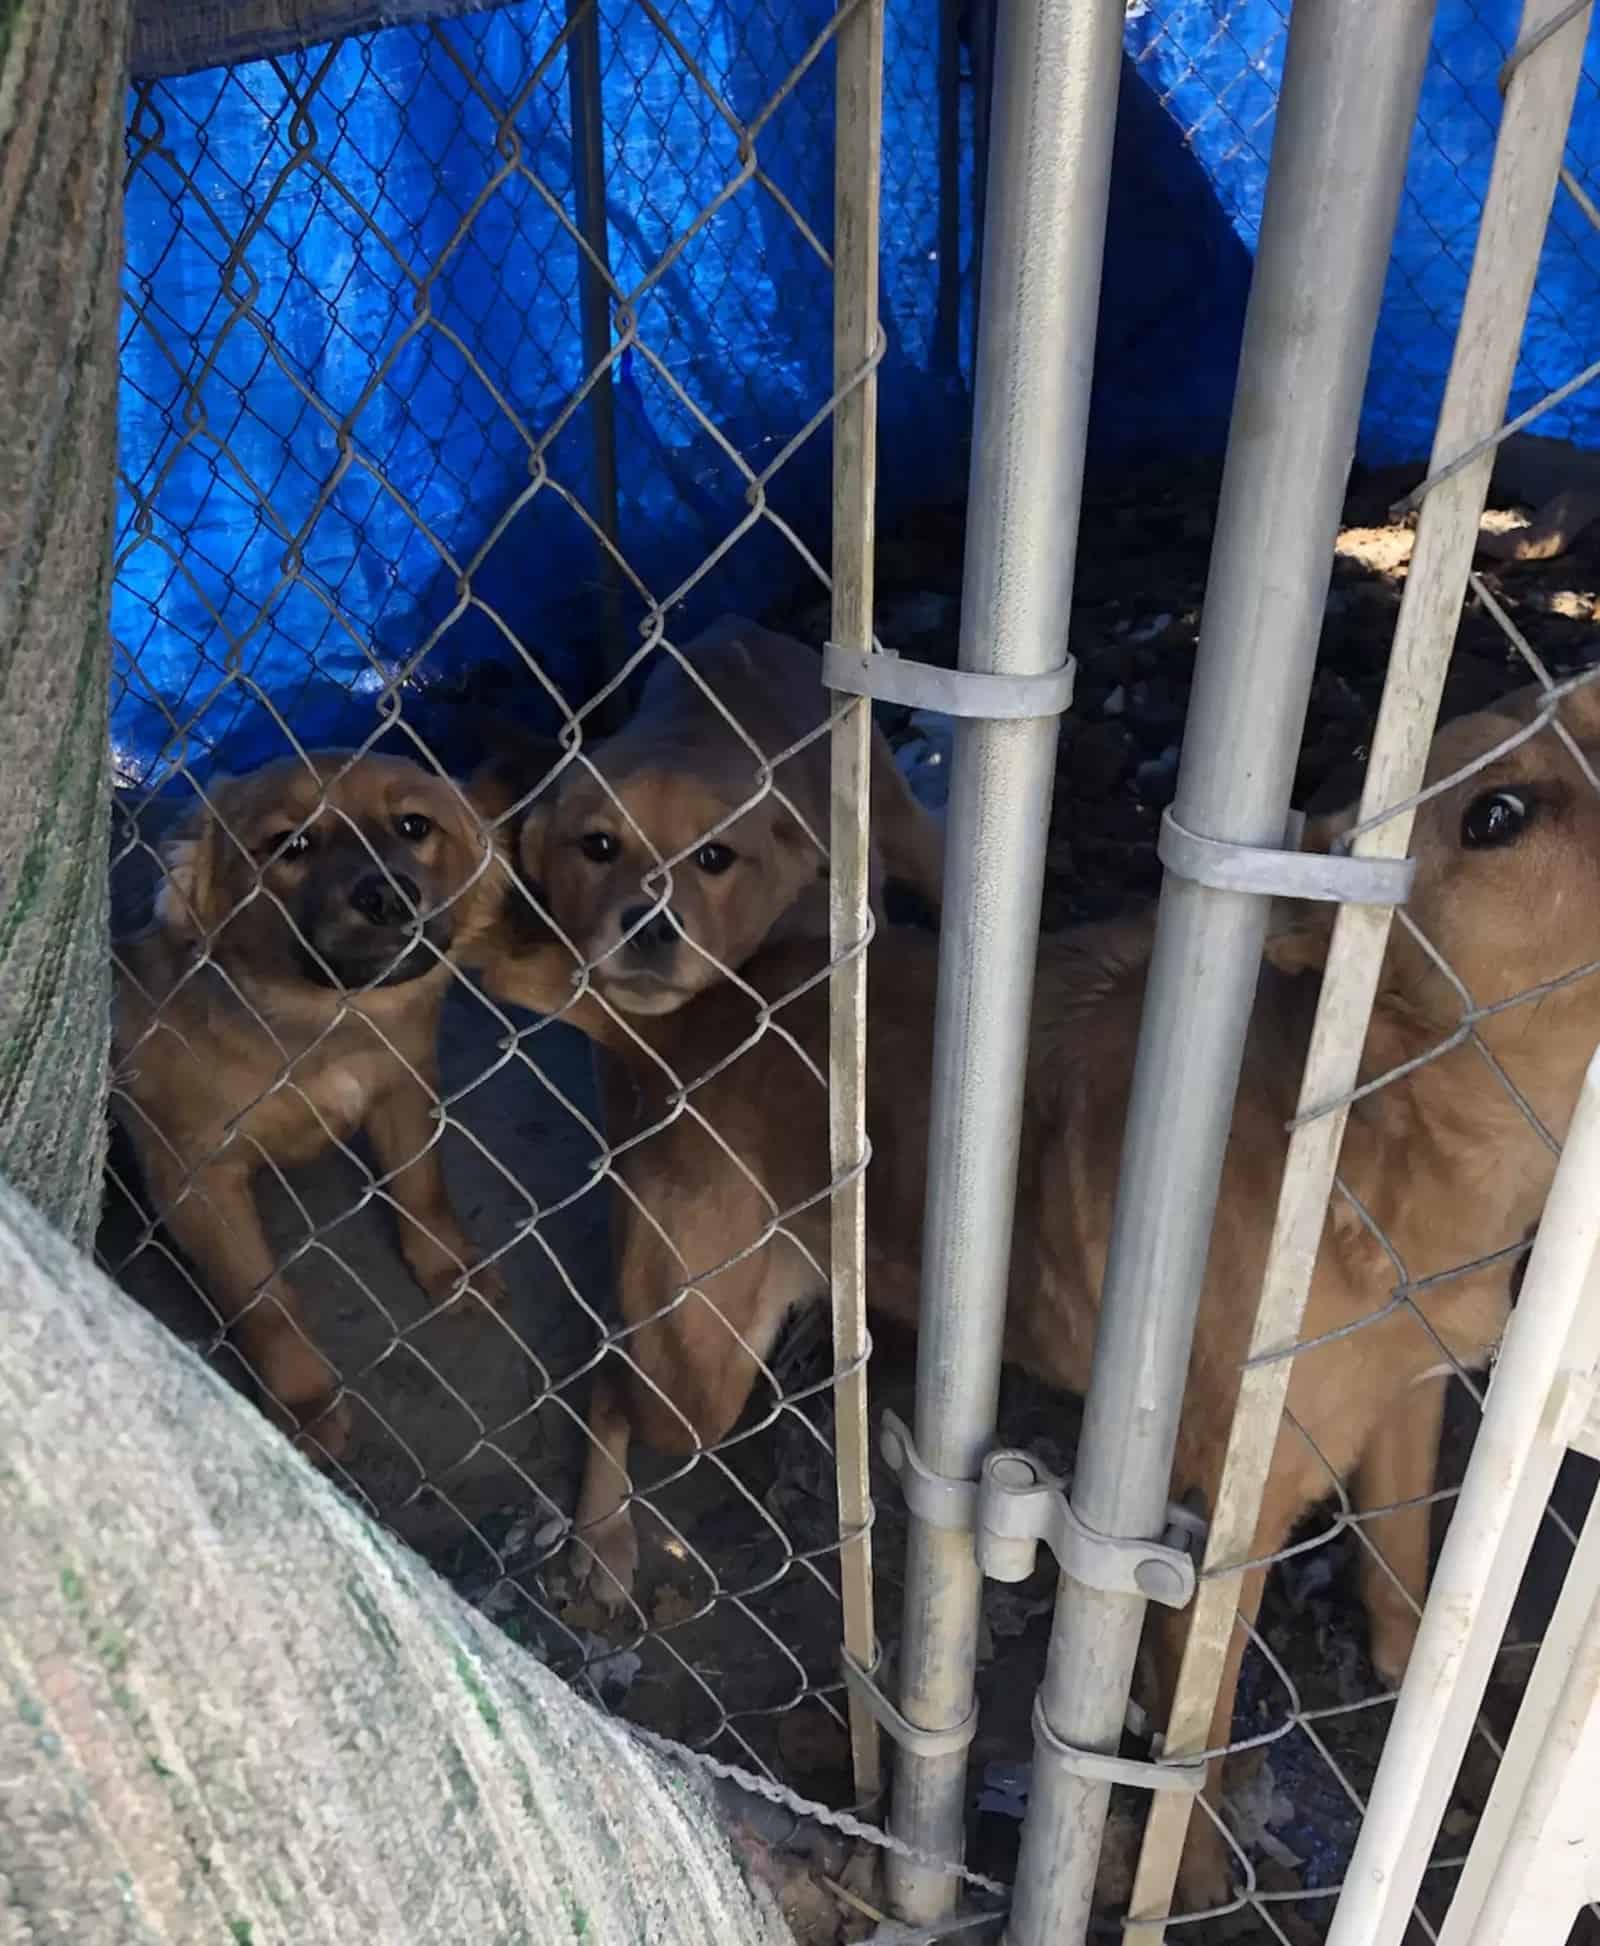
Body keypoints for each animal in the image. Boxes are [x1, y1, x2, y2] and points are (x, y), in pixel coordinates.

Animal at [115, 751, 506, 1455]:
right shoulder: (196, 1177)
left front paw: (448, 1267)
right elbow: (263, 1299)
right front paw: (305, 1398)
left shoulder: (405, 1084)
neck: (327, 1026)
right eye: (290, 844)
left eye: (414, 825)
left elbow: (422, 1188)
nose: (389, 895)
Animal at [469, 677, 1600, 1907]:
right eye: (1493, 814)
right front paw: (1192, 1877)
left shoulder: (1409, 1412)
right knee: (609, 1384)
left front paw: (1447, 1749)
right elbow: (1196, 1740)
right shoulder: (1218, 1527)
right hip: (699, 1362)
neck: (1387, 1135)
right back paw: (602, 1539)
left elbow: (1409, 1603)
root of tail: (692, 1016)